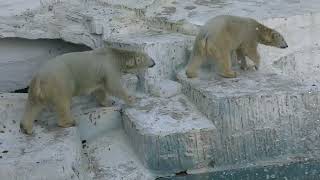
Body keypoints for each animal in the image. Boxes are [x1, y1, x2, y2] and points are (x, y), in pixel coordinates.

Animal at [20, 47, 155, 134]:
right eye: (148, 57)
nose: (154, 62)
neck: (115, 56)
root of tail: (39, 77)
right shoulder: (109, 68)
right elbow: (113, 86)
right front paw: (132, 100)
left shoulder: (99, 74)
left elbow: (100, 89)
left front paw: (109, 102)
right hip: (61, 83)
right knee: (63, 103)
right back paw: (70, 122)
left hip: (35, 88)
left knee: (32, 105)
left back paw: (26, 128)